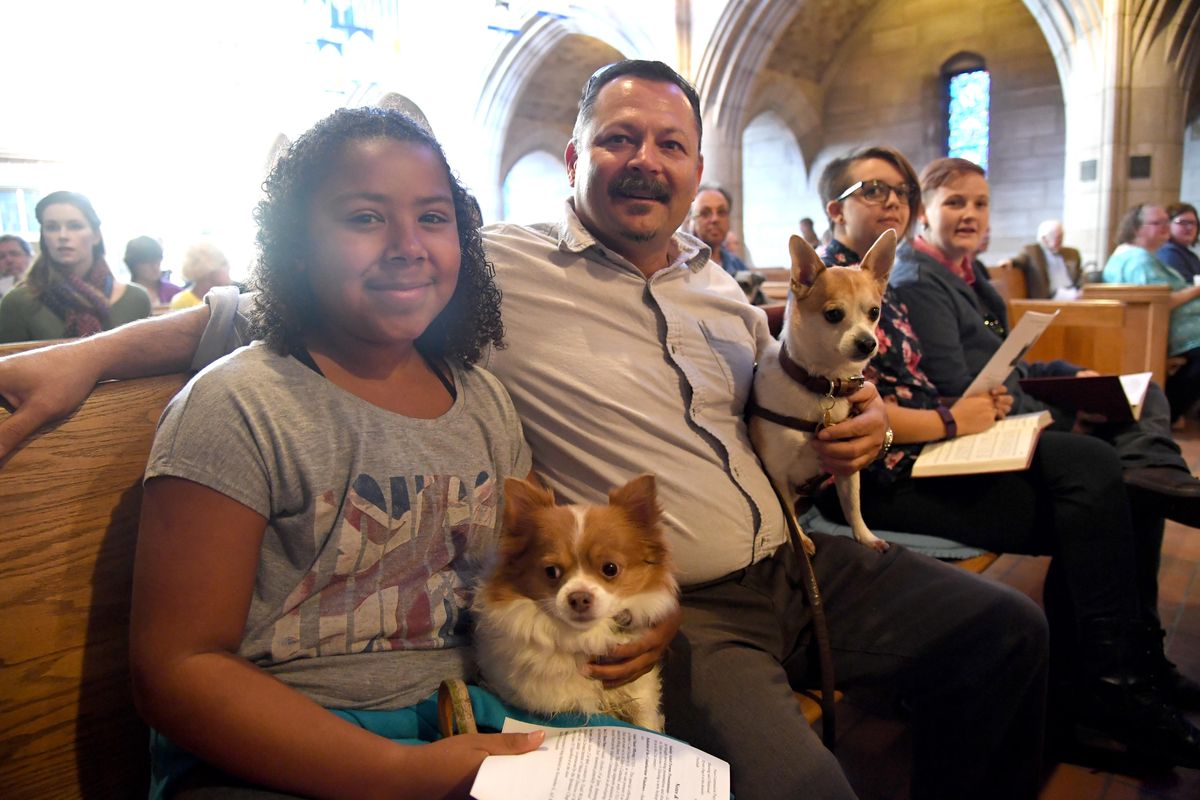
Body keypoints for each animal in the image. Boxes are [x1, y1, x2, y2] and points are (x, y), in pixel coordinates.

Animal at [472, 474, 681, 734]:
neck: (583, 637)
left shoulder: (641, 695)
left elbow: (647, 723)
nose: (579, 597)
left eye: (610, 568)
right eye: (551, 571)